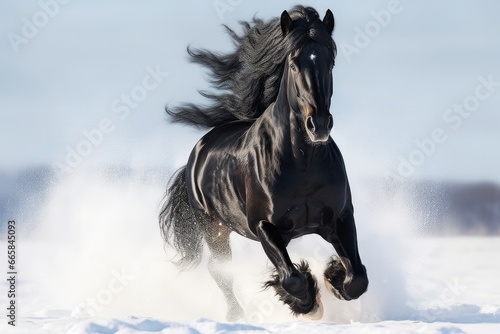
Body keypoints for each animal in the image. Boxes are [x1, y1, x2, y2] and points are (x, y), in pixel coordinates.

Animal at [160, 5, 368, 320]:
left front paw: (332, 276)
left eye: (331, 61)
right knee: (220, 271)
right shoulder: (264, 226)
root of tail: (199, 150)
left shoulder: (340, 217)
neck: (303, 165)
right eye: (293, 63)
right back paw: (236, 315)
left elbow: (357, 279)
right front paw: (308, 303)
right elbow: (291, 277)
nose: (318, 125)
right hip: (214, 228)